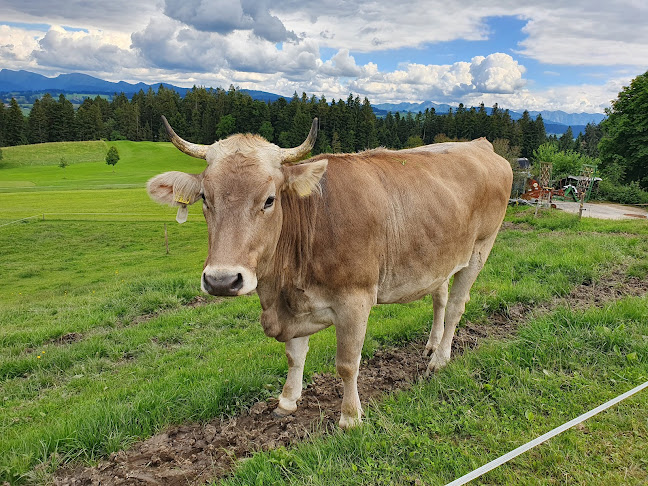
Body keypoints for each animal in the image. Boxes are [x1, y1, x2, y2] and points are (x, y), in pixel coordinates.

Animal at [146, 117, 512, 430]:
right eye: (205, 198)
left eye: (269, 199)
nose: (222, 280)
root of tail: (480, 145)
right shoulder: (295, 306)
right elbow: (294, 356)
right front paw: (287, 401)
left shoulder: (355, 300)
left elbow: (347, 363)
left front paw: (350, 417)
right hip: (439, 257)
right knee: (440, 297)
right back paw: (432, 346)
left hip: (480, 248)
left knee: (456, 306)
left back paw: (440, 359)